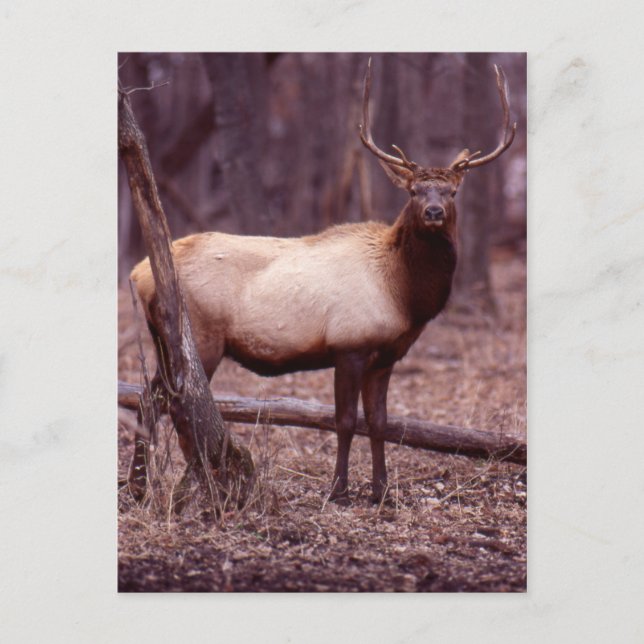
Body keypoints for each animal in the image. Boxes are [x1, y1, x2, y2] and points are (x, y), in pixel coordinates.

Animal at [127, 60, 516, 505]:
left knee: (147, 399)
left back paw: (138, 485)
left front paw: (381, 491)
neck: (403, 294)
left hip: (164, 342)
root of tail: (139, 273)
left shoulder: (385, 358)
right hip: (199, 339)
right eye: (414, 191)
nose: (433, 212)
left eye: (451, 192)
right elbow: (344, 420)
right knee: (172, 405)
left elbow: (379, 423)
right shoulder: (349, 345)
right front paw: (339, 490)